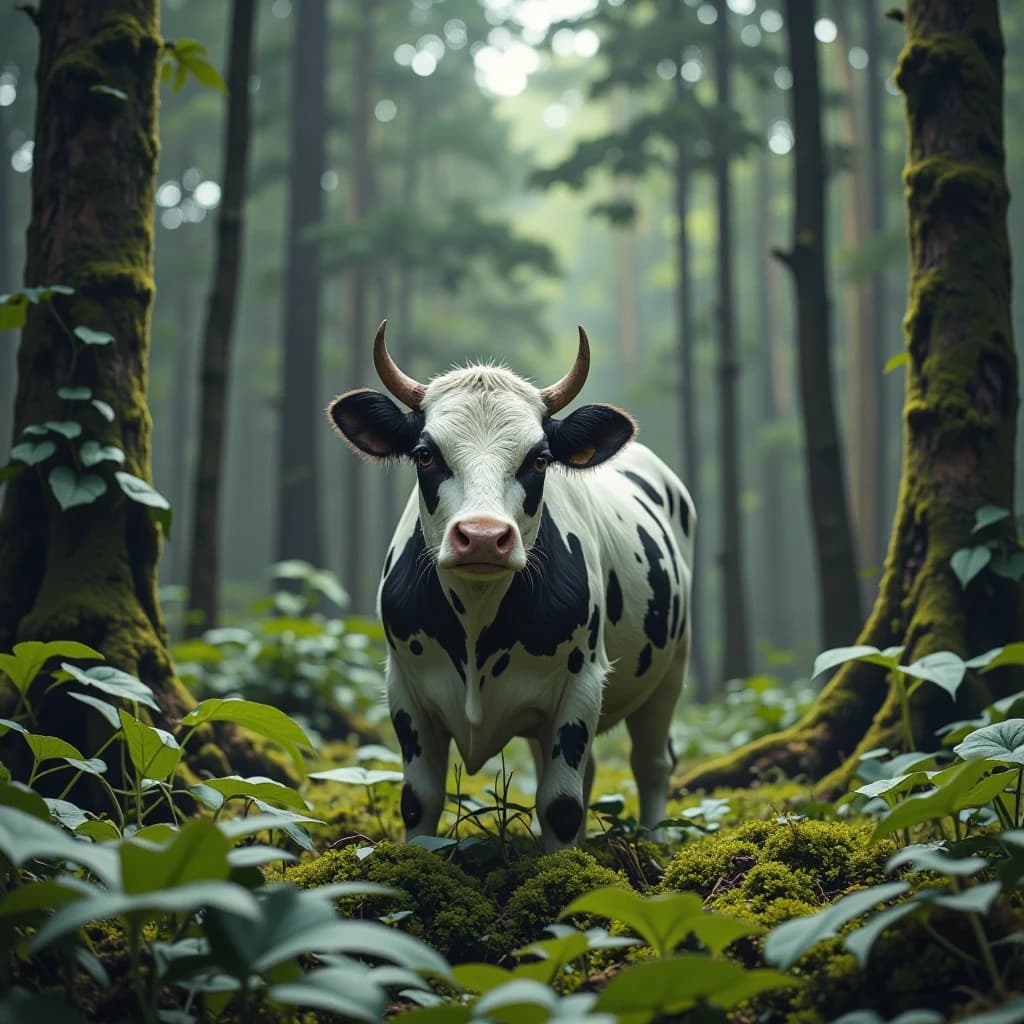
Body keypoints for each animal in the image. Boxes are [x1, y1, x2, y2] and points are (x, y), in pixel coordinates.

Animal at [327, 322, 695, 851]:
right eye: (425, 453)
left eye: (539, 459)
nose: (482, 536)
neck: (477, 618)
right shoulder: (404, 689)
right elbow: (419, 800)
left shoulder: (583, 684)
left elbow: (560, 805)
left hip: (671, 668)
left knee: (652, 762)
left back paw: (656, 841)